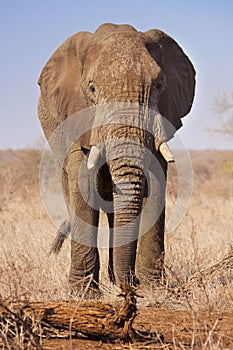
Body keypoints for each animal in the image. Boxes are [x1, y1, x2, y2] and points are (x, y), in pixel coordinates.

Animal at [37, 22, 195, 296]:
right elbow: (84, 184)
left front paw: (152, 289)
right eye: (92, 88)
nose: (129, 287)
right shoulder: (78, 118)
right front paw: (84, 295)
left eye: (158, 85)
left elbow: (156, 181)